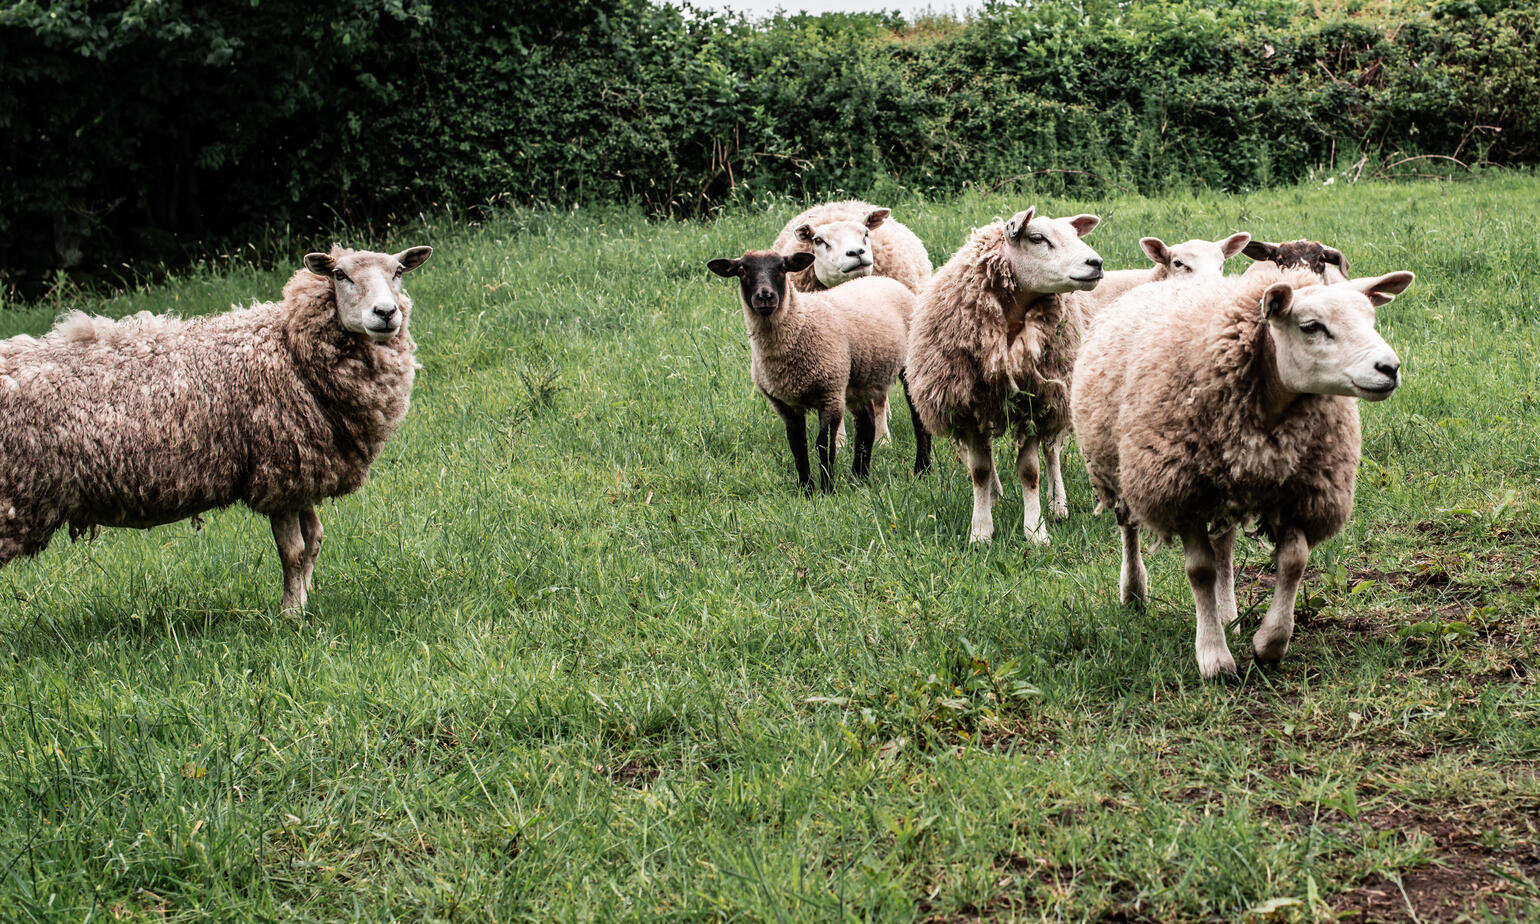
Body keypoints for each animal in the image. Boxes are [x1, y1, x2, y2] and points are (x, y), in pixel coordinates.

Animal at [0, 245, 433, 612]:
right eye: (340, 274)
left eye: (397, 272)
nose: (385, 313)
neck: (288, 345)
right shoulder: (277, 471)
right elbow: (292, 552)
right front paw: (290, 614)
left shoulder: (301, 472)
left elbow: (314, 541)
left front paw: (304, 602)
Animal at [706, 250, 930, 492]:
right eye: (742, 270)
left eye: (782, 268)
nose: (765, 296)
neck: (801, 320)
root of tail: (885, 280)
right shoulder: (785, 405)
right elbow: (798, 445)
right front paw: (806, 489)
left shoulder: (830, 394)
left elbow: (823, 444)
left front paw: (827, 489)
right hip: (856, 379)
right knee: (866, 424)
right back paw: (859, 477)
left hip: (907, 366)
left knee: (918, 419)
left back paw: (922, 470)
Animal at [905, 207, 1104, 544]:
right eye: (1037, 238)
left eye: (1074, 234)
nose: (1096, 263)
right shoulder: (968, 408)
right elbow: (979, 471)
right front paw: (981, 532)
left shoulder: (1036, 404)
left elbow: (1030, 472)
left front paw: (1036, 532)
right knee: (986, 457)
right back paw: (995, 495)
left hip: (1059, 397)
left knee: (1052, 452)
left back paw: (1058, 505)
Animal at [1071, 266, 1414, 678]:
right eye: (1311, 326)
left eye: (1370, 319)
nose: (1389, 368)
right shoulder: (1182, 491)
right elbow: (1199, 571)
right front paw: (1214, 658)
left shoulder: (1300, 491)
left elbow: (1293, 563)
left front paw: (1270, 644)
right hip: (1120, 466)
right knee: (1129, 525)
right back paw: (1135, 592)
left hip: (1226, 486)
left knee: (1224, 546)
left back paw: (1226, 611)